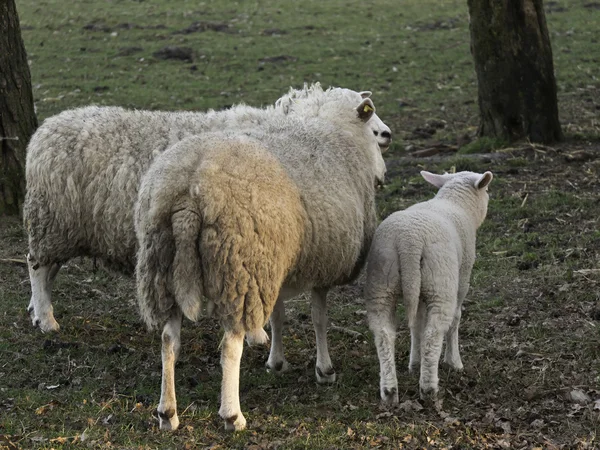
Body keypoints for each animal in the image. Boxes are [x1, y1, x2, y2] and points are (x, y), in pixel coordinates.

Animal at [22, 86, 394, 338]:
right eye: (370, 123)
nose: (388, 133)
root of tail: (43, 132)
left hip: (63, 228)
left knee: (46, 271)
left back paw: (36, 311)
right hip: (52, 221)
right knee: (37, 267)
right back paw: (47, 320)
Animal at [134, 86, 386, 430]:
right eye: (376, 133)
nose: (383, 176)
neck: (332, 131)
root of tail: (188, 190)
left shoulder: (275, 264)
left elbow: (278, 315)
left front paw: (276, 361)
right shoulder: (320, 264)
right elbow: (319, 318)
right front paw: (325, 370)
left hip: (165, 269)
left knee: (168, 340)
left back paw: (168, 413)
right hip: (240, 268)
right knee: (229, 345)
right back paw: (232, 415)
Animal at [364, 170, 494, 408]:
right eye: (487, 189)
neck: (456, 203)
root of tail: (409, 241)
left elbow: (417, 324)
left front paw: (415, 362)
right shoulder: (462, 277)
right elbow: (455, 319)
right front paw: (454, 362)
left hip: (381, 281)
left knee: (383, 333)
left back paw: (389, 391)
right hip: (440, 281)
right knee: (435, 332)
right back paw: (428, 388)